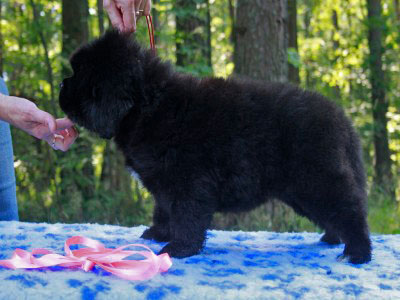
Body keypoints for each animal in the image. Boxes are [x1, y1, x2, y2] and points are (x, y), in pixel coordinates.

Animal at [59, 30, 372, 264]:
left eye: (80, 76)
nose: (61, 84)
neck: (149, 105)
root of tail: (341, 118)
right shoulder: (164, 185)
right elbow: (163, 210)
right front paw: (158, 233)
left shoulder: (189, 181)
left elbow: (187, 217)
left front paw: (178, 249)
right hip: (302, 192)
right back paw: (332, 239)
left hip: (318, 179)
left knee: (350, 210)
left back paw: (356, 253)